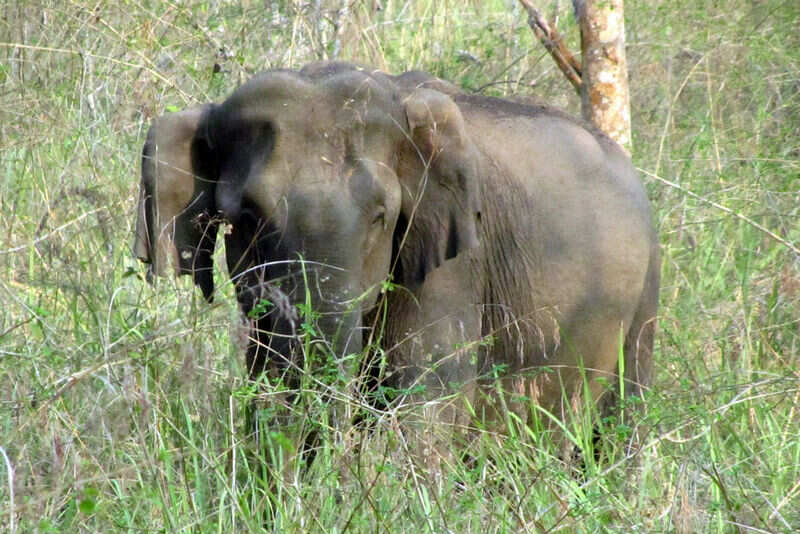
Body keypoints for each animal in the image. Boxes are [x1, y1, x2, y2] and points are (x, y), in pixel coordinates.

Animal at [133, 62, 659, 453]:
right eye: (246, 217)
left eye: (380, 217)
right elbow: (266, 377)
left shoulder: (453, 263)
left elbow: (422, 402)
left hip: (645, 300)